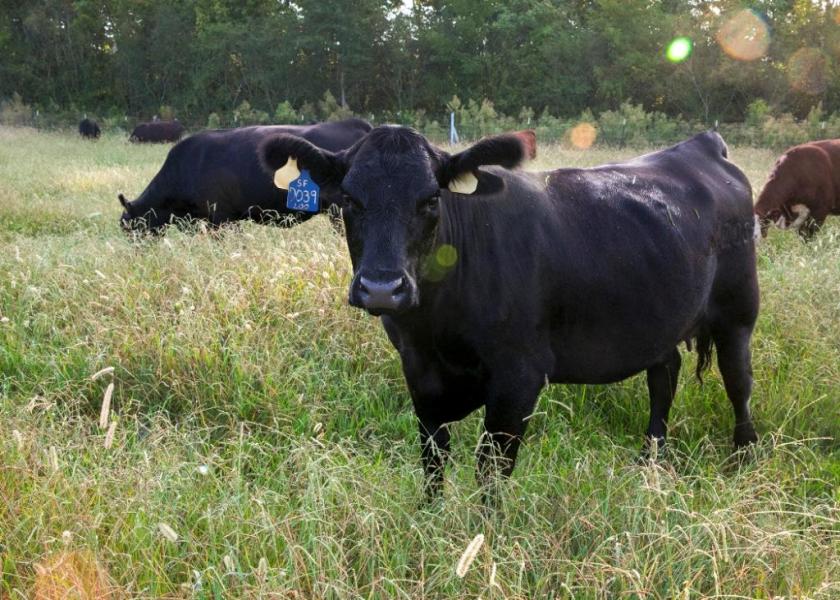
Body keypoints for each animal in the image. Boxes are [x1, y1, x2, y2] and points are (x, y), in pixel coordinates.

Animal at [260, 126, 760, 496]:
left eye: (431, 199)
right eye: (349, 200)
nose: (382, 288)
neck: (435, 328)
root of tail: (701, 145)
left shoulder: (519, 375)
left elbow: (491, 470)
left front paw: (483, 539)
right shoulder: (418, 371)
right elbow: (433, 460)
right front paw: (430, 519)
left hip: (738, 310)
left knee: (738, 381)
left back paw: (743, 459)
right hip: (658, 315)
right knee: (664, 374)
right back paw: (649, 460)